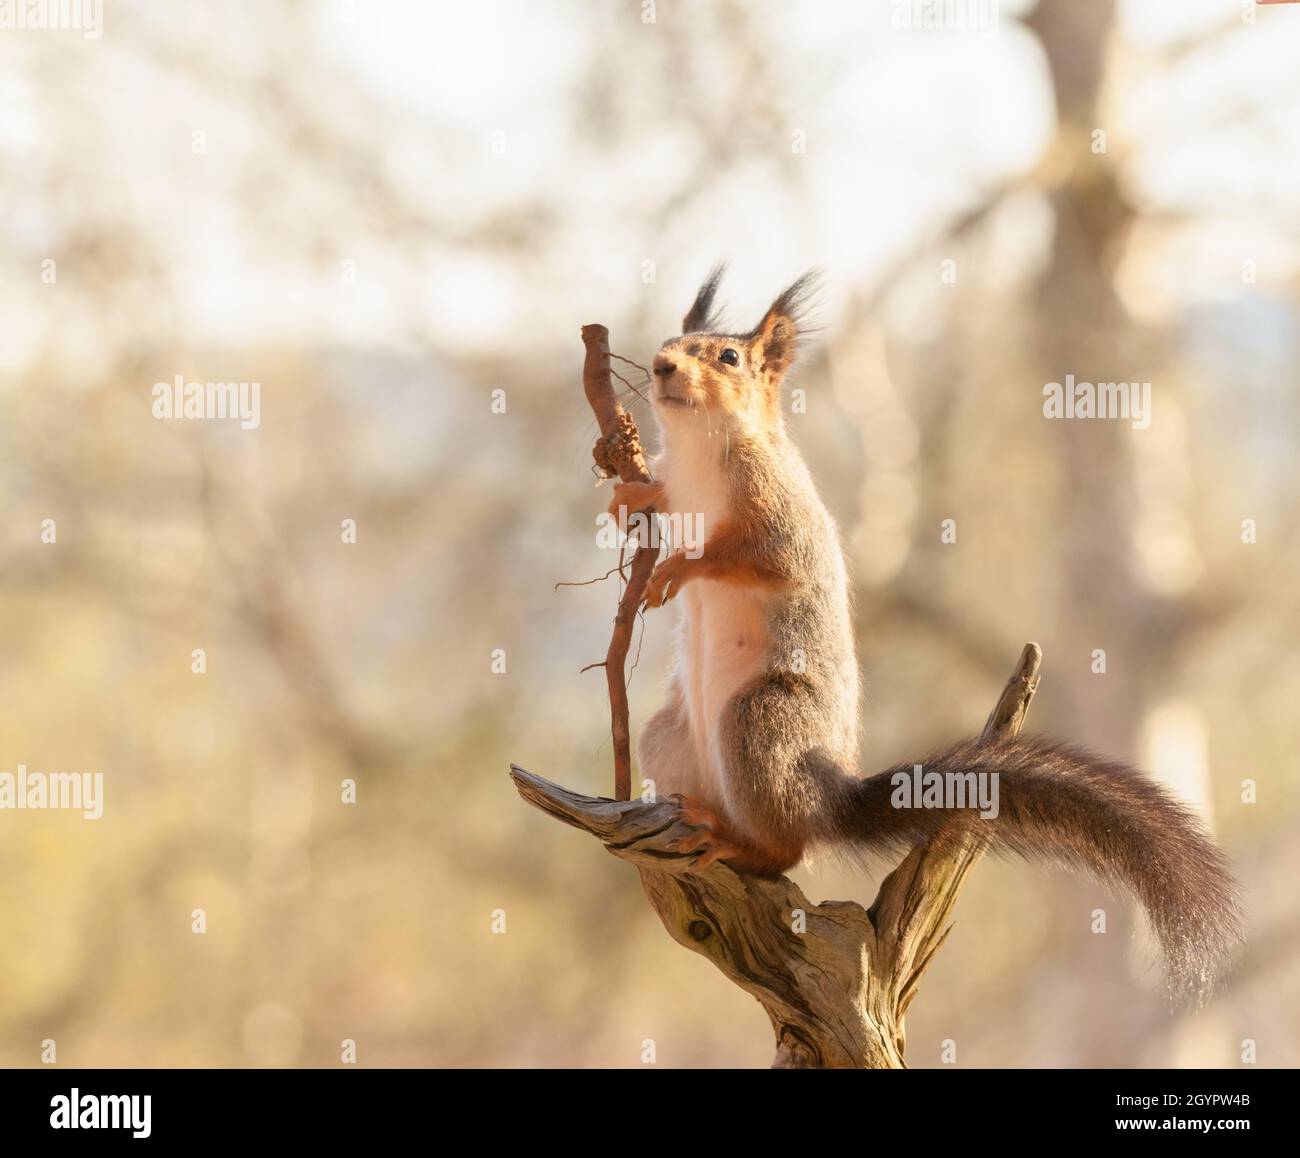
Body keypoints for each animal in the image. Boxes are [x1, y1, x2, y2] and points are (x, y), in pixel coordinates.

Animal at [607, 265, 1241, 1002]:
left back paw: (738, 843)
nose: (660, 366)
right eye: (668, 342)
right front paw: (627, 499)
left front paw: (678, 567)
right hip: (670, 738)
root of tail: (829, 800)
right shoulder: (677, 482)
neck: (699, 448)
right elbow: (659, 499)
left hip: (760, 721)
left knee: (787, 853)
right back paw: (698, 819)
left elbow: (755, 558)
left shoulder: (778, 514)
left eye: (729, 357)